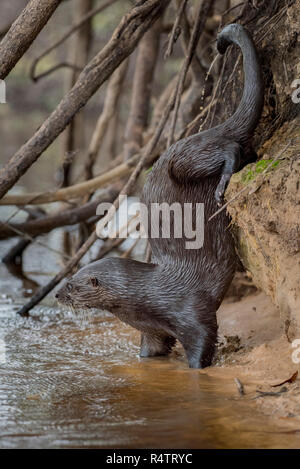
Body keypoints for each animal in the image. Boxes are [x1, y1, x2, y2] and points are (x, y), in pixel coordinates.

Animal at [55, 24, 262, 370]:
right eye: (68, 278)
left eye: (73, 285)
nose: (57, 294)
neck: (149, 298)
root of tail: (203, 131)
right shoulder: (151, 329)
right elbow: (151, 350)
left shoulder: (191, 313)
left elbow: (202, 342)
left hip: (185, 162)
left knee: (228, 148)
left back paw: (224, 181)